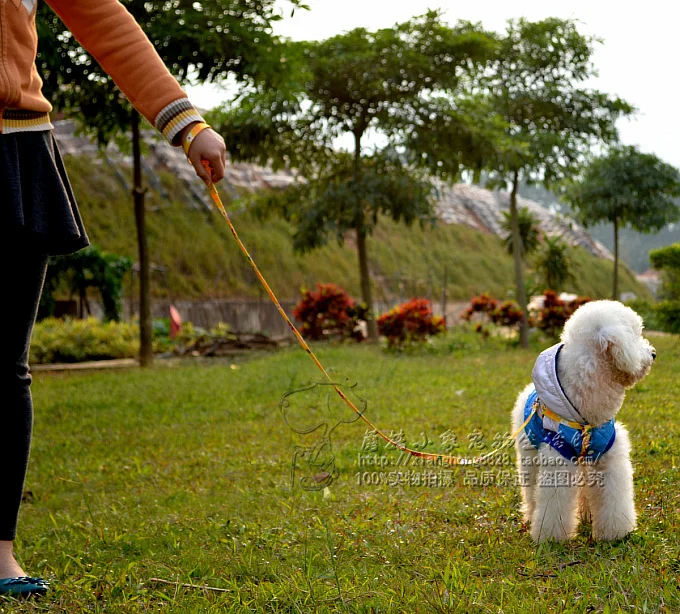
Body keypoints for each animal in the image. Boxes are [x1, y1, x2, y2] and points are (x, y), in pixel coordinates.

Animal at [512, 300, 656, 540]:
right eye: (636, 333)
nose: (653, 353)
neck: (587, 419)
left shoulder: (609, 457)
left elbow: (614, 498)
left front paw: (615, 533)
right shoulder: (558, 456)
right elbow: (554, 504)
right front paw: (552, 538)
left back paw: (587, 515)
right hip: (528, 454)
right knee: (531, 490)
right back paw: (531, 515)